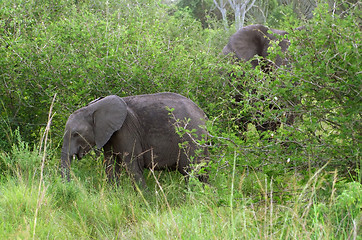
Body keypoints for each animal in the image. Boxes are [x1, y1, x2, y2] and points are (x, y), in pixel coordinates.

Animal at [60, 93, 209, 190]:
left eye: (76, 134)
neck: (94, 108)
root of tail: (203, 116)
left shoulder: (126, 131)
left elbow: (133, 165)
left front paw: (146, 200)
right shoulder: (109, 135)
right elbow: (110, 165)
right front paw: (114, 194)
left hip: (191, 140)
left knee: (190, 171)